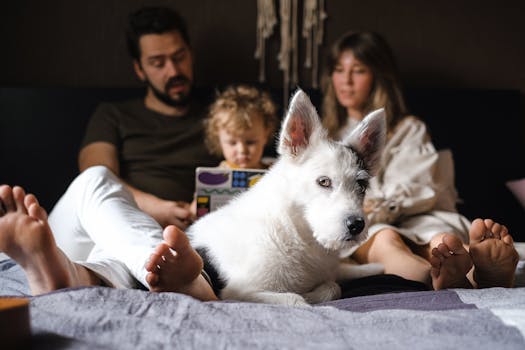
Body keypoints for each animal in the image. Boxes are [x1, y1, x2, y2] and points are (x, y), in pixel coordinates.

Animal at [188, 89, 384, 304]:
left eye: (362, 185)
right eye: (324, 181)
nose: (357, 225)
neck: (297, 231)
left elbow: (334, 284)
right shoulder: (238, 292)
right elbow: (297, 298)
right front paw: (308, 295)